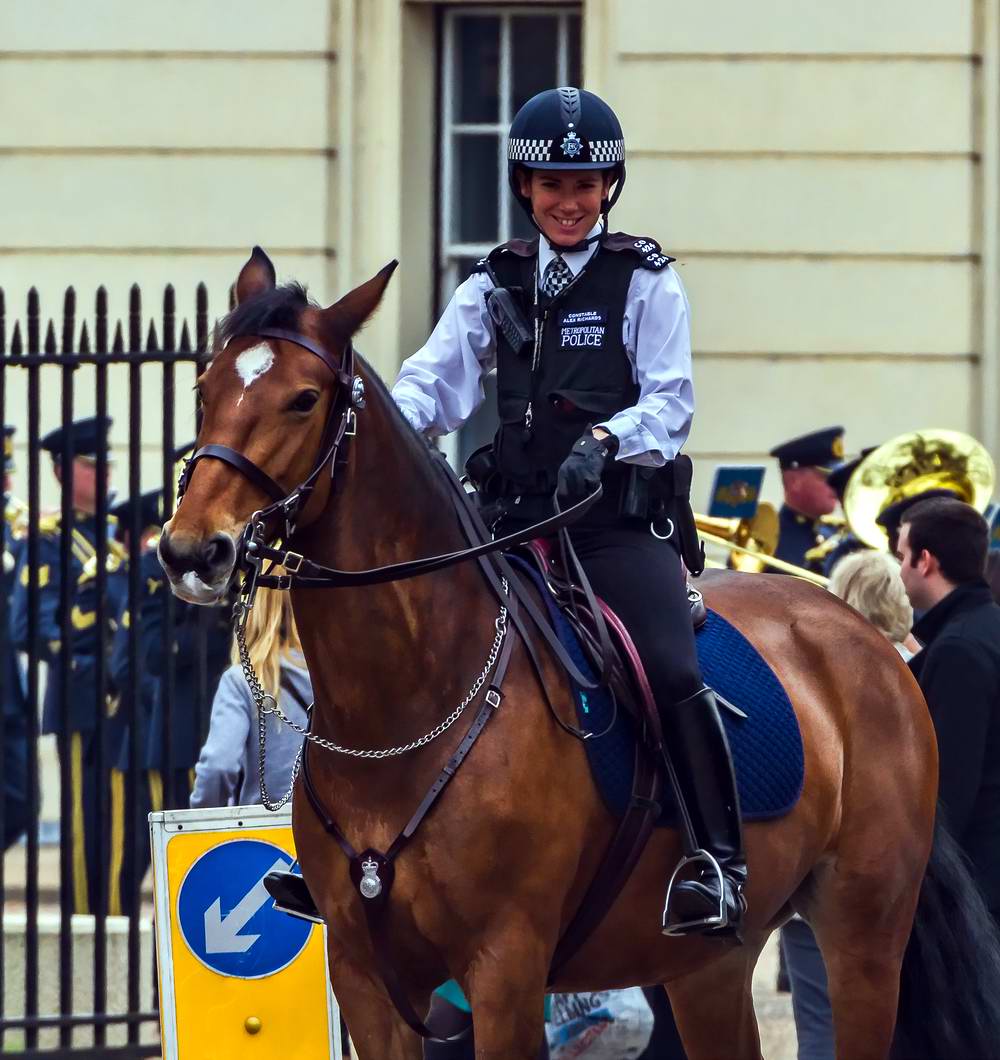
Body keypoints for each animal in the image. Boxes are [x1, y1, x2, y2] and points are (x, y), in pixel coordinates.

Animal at [158, 250, 984, 1060]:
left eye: (303, 400)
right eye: (204, 388)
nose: (193, 550)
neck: (403, 712)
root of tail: (870, 639)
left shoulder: (506, 972)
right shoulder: (366, 981)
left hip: (864, 936)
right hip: (707, 968)